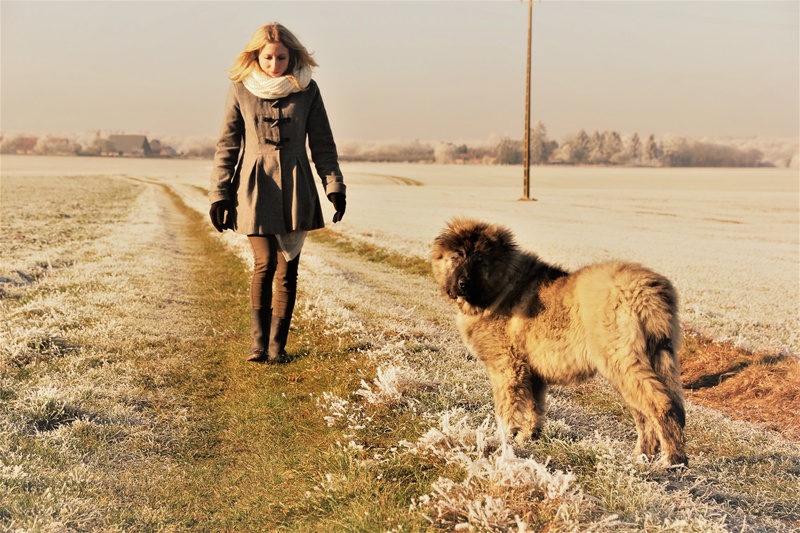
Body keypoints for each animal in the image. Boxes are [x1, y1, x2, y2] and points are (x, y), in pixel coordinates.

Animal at [432, 217, 688, 466]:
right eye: (456, 257)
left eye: (480, 261)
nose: (463, 284)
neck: (502, 285)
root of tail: (647, 290)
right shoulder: (531, 373)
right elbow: (534, 408)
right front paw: (528, 437)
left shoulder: (507, 369)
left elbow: (506, 408)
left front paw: (501, 439)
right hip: (647, 359)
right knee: (646, 413)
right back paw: (641, 457)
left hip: (621, 362)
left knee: (661, 404)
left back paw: (671, 460)